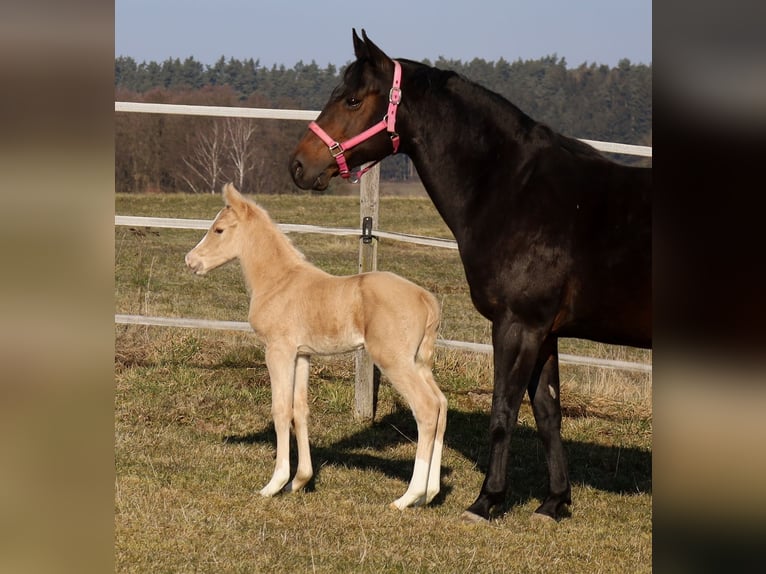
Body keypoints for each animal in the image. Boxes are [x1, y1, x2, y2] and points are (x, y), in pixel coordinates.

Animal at [188, 183, 450, 508]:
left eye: (219, 229)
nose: (191, 261)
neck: (279, 282)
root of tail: (426, 298)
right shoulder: (302, 355)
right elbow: (300, 410)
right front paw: (299, 481)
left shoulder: (278, 351)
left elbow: (280, 410)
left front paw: (274, 484)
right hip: (420, 363)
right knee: (441, 405)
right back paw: (430, 494)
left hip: (394, 361)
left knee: (426, 408)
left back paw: (407, 498)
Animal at [292, 30, 652, 528]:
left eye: (352, 99)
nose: (298, 166)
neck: (516, 190)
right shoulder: (545, 331)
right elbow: (548, 413)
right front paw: (554, 503)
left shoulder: (517, 325)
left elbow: (503, 411)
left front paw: (486, 501)